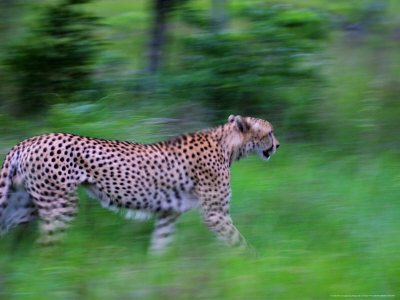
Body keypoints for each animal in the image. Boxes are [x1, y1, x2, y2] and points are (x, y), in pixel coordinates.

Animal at [0, 116, 280, 252]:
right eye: (270, 132)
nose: (277, 145)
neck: (228, 145)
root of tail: (28, 140)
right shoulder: (216, 214)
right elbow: (239, 243)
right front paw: (255, 264)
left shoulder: (169, 212)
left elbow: (160, 247)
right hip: (60, 204)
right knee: (46, 246)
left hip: (22, 205)